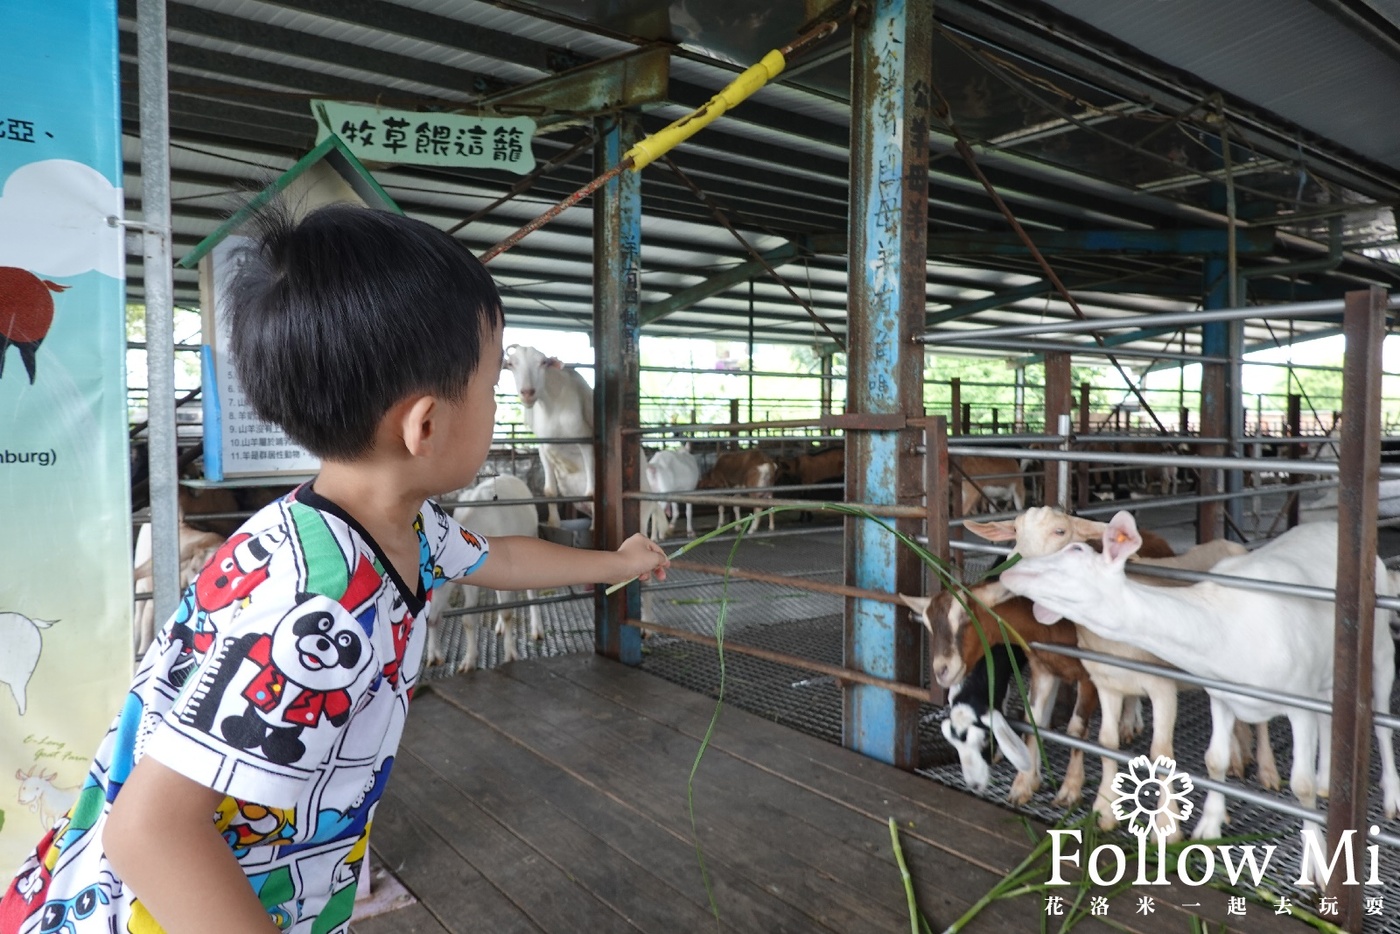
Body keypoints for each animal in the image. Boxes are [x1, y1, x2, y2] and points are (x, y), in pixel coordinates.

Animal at [504, 347, 590, 529]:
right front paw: (554, 523)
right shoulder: (543, 447)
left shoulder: (585, 439)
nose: (527, 392)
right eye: (510, 364)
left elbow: (592, 492)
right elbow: (549, 491)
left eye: (543, 362)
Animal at [1002, 515, 1400, 868]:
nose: (1008, 571)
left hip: (1380, 650)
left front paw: (1315, 864)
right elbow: (1214, 760)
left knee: (1379, 720)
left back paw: (1389, 796)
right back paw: (1326, 781)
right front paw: (1207, 828)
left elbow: (1299, 785)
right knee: (1328, 717)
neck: (1226, 623)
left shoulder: (1295, 700)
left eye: (1073, 547)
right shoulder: (1220, 695)